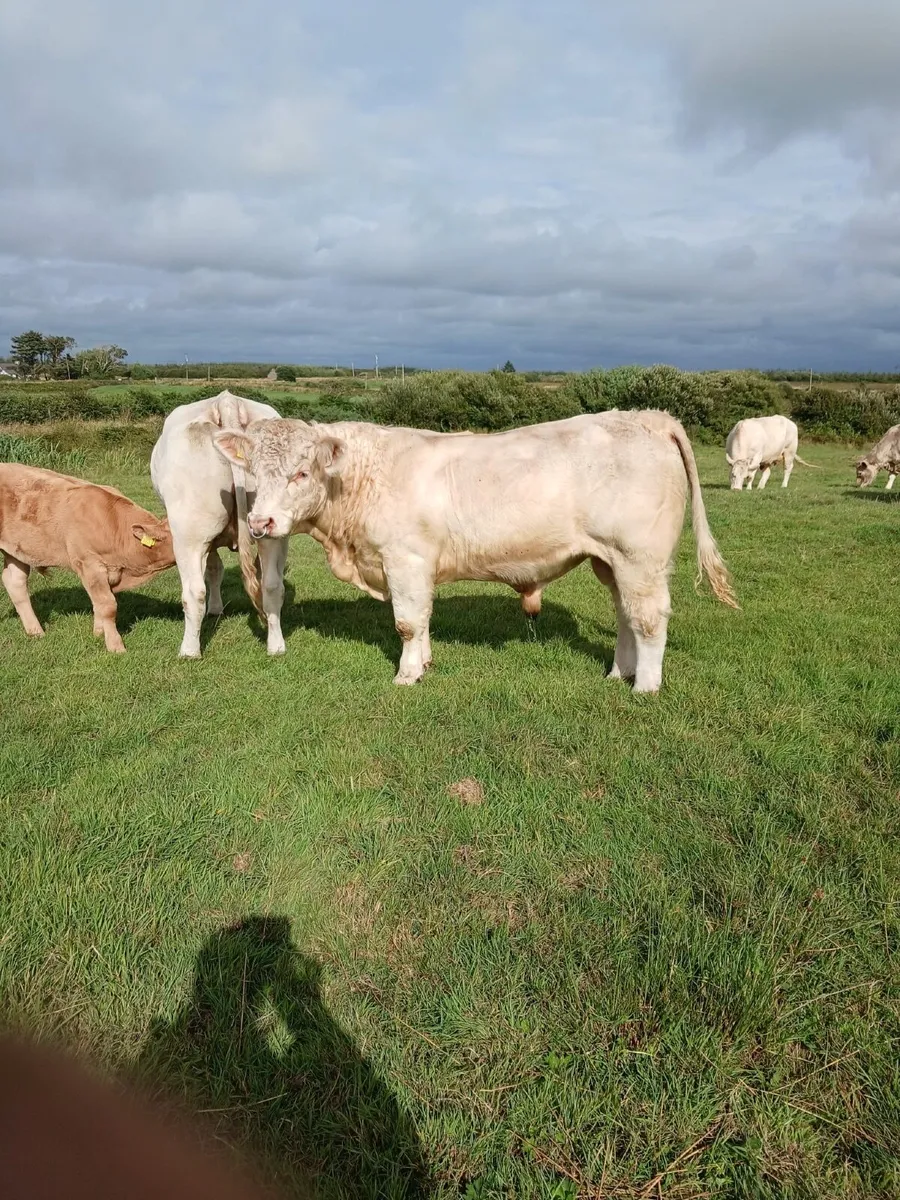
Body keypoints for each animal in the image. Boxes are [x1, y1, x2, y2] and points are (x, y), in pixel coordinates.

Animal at [0, 464, 174, 652]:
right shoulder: (89, 563)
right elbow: (108, 605)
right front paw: (116, 647)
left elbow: (99, 604)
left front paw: (99, 633)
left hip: (17, 549)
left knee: (15, 582)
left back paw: (36, 632)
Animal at [150, 392, 289, 658]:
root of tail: (226, 401)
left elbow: (213, 569)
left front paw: (214, 609)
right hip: (274, 532)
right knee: (272, 585)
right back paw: (276, 646)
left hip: (189, 533)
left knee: (194, 592)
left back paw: (189, 650)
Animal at [213, 409, 737, 694]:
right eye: (254, 472)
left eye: (301, 472)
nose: (260, 523)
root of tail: (650, 417)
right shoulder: (417, 568)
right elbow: (422, 618)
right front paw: (424, 663)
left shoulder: (405, 559)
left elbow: (407, 622)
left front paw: (406, 675)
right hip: (610, 561)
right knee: (626, 614)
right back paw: (617, 674)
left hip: (640, 558)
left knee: (649, 619)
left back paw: (645, 685)